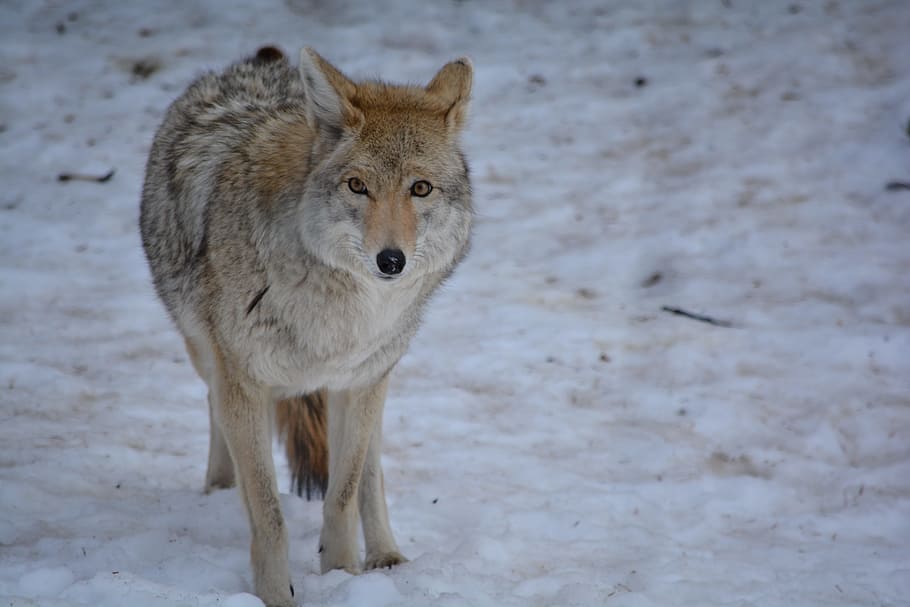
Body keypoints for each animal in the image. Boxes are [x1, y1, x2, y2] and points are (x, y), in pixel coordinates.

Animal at [139, 46, 473, 606]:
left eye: (420, 188)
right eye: (358, 185)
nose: (391, 261)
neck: (337, 311)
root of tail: (261, 59)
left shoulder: (358, 382)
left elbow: (342, 494)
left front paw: (343, 575)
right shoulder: (243, 385)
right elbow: (269, 517)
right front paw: (276, 596)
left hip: (376, 382)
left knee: (371, 470)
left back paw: (386, 555)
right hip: (206, 356)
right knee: (212, 407)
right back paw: (217, 491)